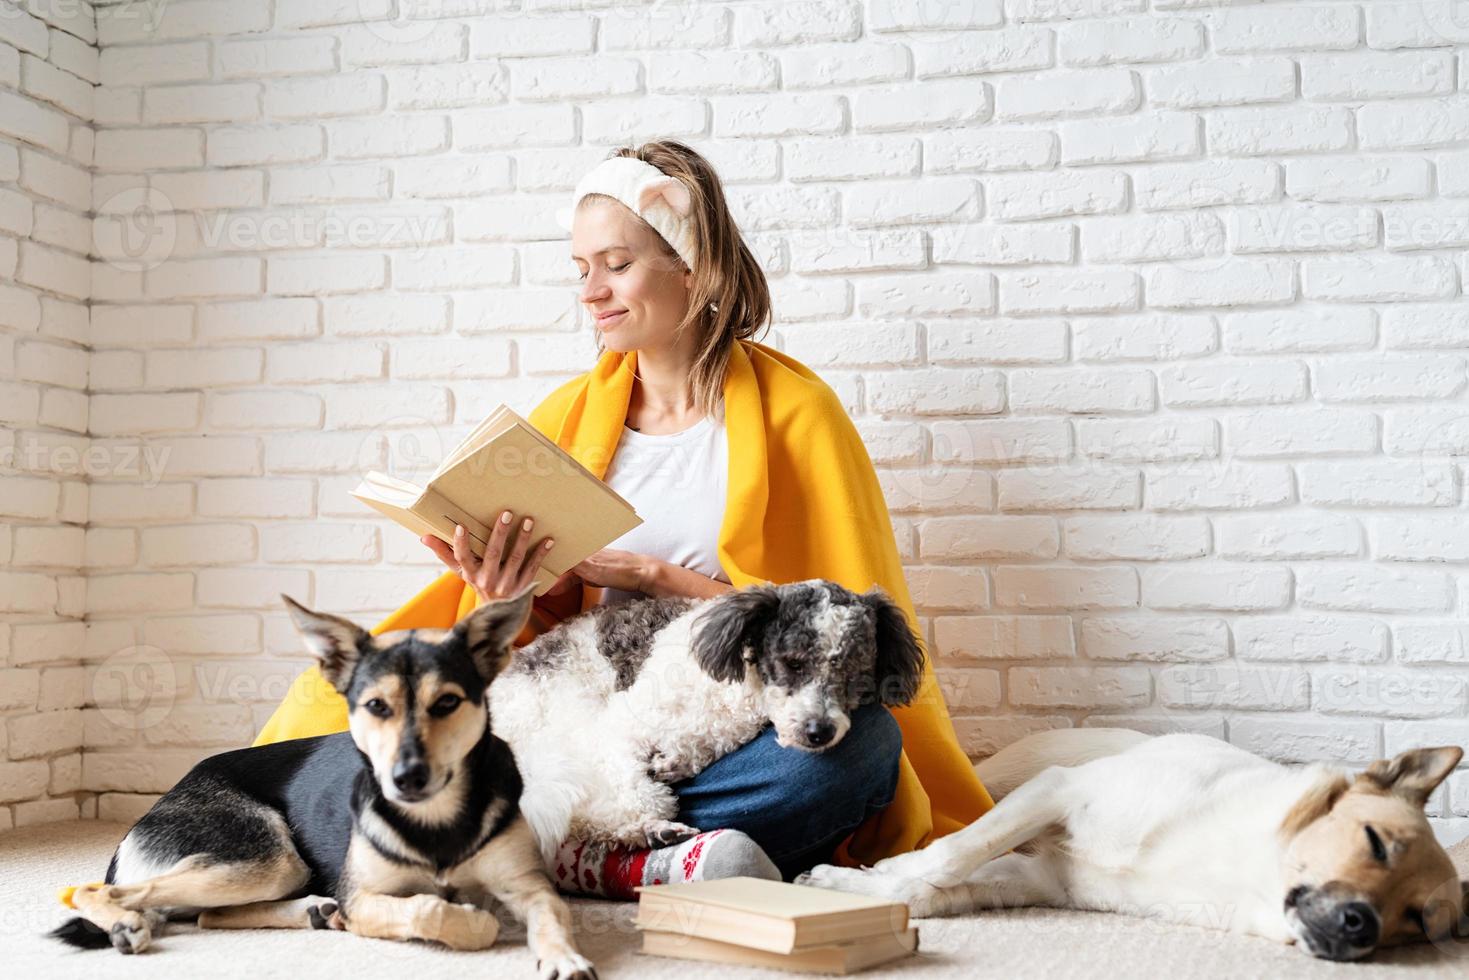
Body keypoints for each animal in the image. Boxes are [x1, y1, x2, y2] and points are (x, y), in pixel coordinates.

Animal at [50, 587, 596, 975]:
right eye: (376, 705)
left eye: (446, 703)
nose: (406, 778)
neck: (433, 819)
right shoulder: (365, 900)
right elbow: (429, 910)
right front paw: (472, 921)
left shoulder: (531, 886)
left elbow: (554, 920)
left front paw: (565, 958)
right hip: (266, 857)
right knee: (99, 892)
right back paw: (125, 923)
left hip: (272, 869)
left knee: (207, 914)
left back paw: (313, 911)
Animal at [805, 731, 1469, 963]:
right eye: (1375, 842)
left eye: (1418, 921)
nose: (1362, 925)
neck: (1248, 872)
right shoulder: (1057, 791)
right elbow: (945, 857)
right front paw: (868, 875)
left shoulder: (1039, 879)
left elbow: (930, 891)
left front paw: (857, 888)